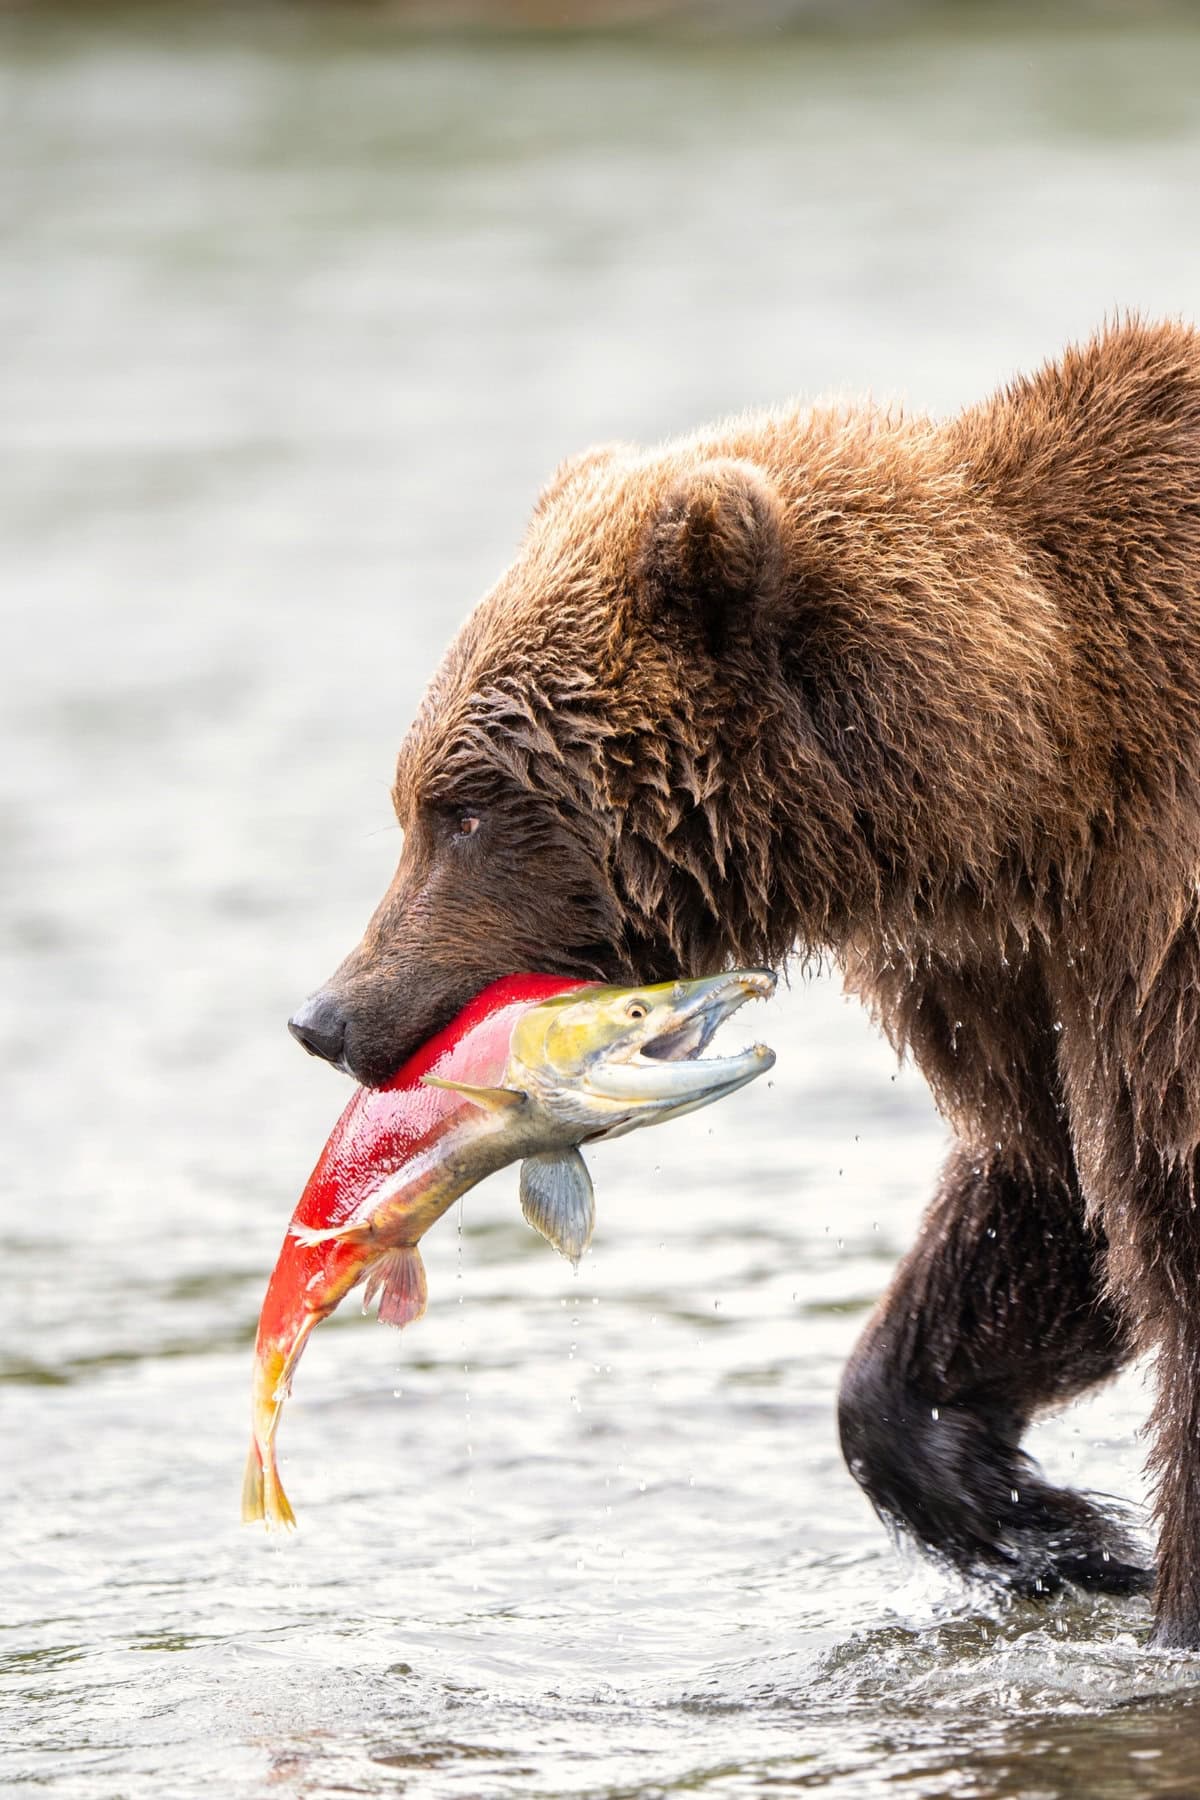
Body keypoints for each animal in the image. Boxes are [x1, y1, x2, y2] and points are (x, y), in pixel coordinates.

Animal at [289, 318, 1200, 1648]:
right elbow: (1048, 1192)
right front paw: (1046, 1527)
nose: (327, 1014)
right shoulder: (1017, 971)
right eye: (414, 797)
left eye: (466, 807)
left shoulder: (1155, 920)